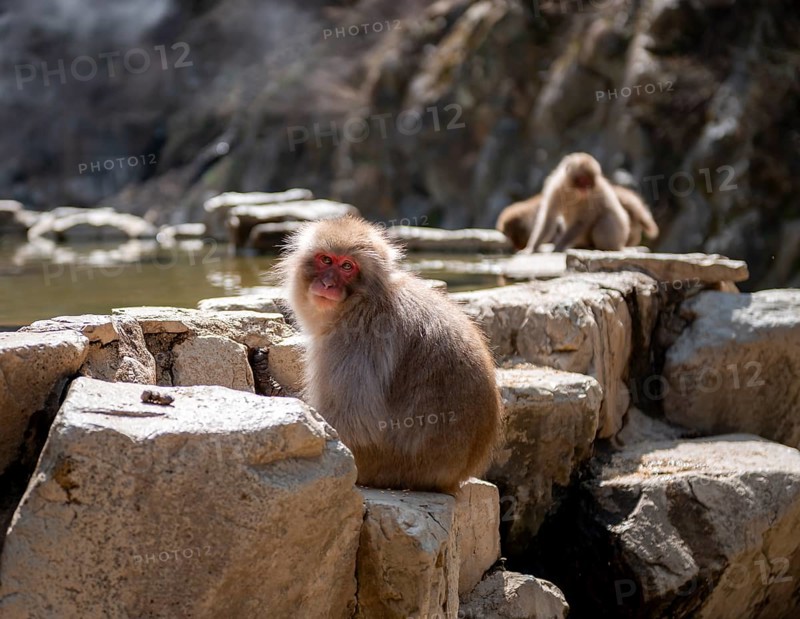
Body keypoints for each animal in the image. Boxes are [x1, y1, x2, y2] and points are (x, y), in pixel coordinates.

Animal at [277, 216, 502, 494]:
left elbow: (357, 424)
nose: (328, 284)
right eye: (326, 260)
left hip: (386, 467)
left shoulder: (356, 338)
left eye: (347, 266)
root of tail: (454, 476)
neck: (363, 299)